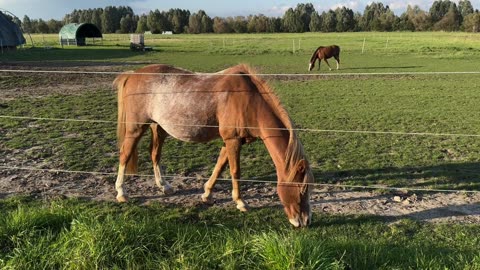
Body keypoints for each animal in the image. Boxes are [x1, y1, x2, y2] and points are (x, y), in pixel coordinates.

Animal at [113, 63, 316, 228]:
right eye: (302, 189)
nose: (305, 221)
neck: (249, 101)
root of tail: (133, 74)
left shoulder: (231, 141)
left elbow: (219, 166)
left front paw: (207, 195)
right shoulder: (232, 140)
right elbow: (235, 171)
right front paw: (241, 202)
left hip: (158, 127)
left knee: (155, 154)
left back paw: (164, 186)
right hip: (136, 128)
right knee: (125, 154)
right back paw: (121, 193)